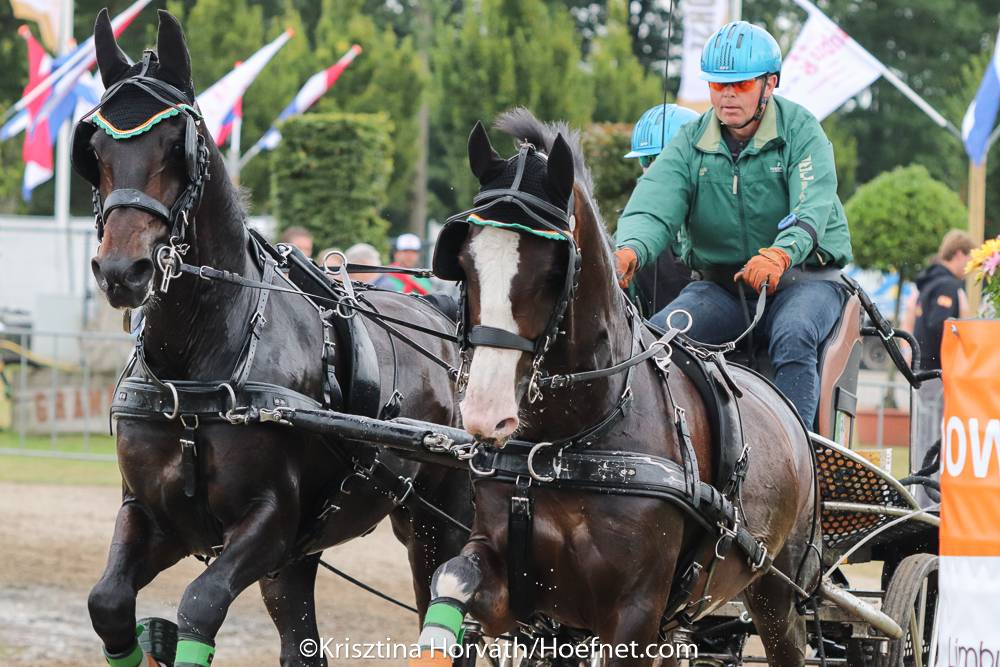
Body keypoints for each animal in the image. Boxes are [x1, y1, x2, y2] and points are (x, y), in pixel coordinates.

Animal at [76, 10, 469, 667]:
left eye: (177, 146)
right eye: (97, 149)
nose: (121, 271)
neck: (195, 369)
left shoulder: (268, 523)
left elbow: (200, 603)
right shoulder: (154, 514)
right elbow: (107, 602)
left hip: (441, 525)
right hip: (301, 557)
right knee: (300, 644)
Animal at [412, 110, 821, 666]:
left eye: (552, 269)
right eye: (466, 263)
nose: (484, 413)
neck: (563, 447)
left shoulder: (634, 614)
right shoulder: (511, 584)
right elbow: (451, 579)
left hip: (776, 593)